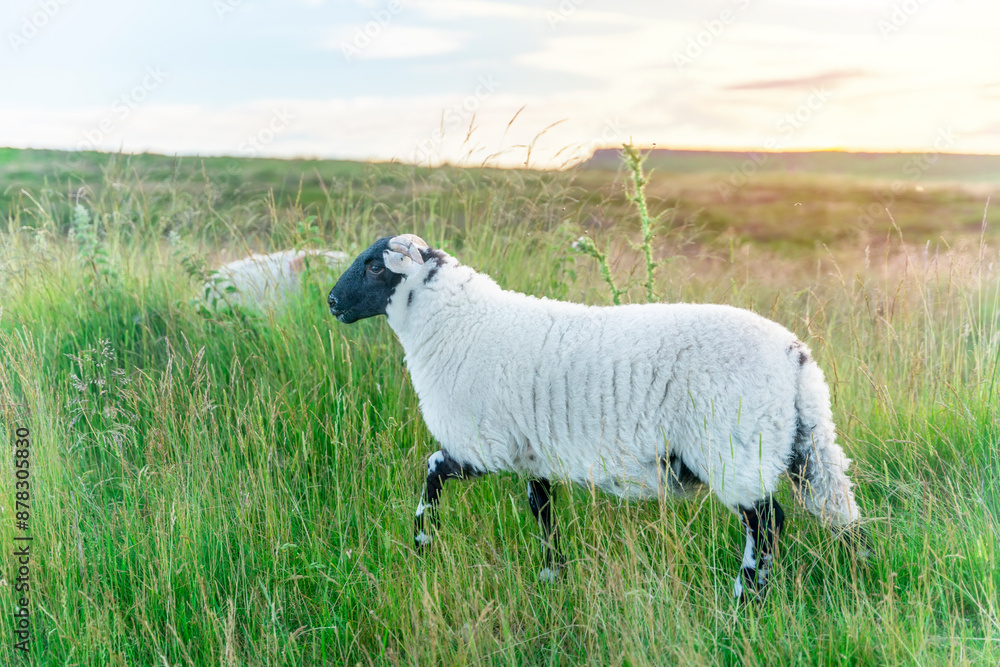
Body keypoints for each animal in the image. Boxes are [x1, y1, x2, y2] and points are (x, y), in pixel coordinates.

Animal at [327, 234, 865, 599]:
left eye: (374, 267)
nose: (332, 302)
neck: (455, 323)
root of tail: (795, 356)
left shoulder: (483, 444)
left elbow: (432, 471)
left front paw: (421, 542)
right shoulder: (532, 452)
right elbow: (542, 509)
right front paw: (552, 575)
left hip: (735, 449)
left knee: (767, 522)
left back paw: (743, 599)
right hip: (804, 447)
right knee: (838, 513)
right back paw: (852, 573)